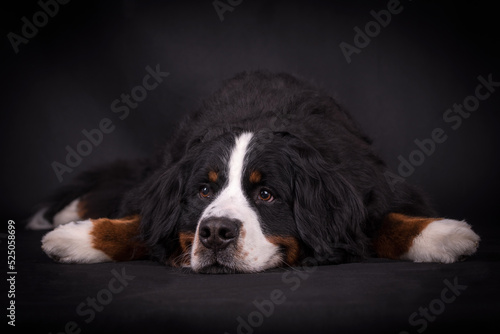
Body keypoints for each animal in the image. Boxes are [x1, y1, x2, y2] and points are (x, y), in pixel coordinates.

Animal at [30, 70, 480, 274]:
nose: (215, 232)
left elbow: (387, 221)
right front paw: (75, 238)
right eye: (204, 191)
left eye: (266, 195)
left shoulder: (369, 188)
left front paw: (442, 235)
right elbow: (139, 225)